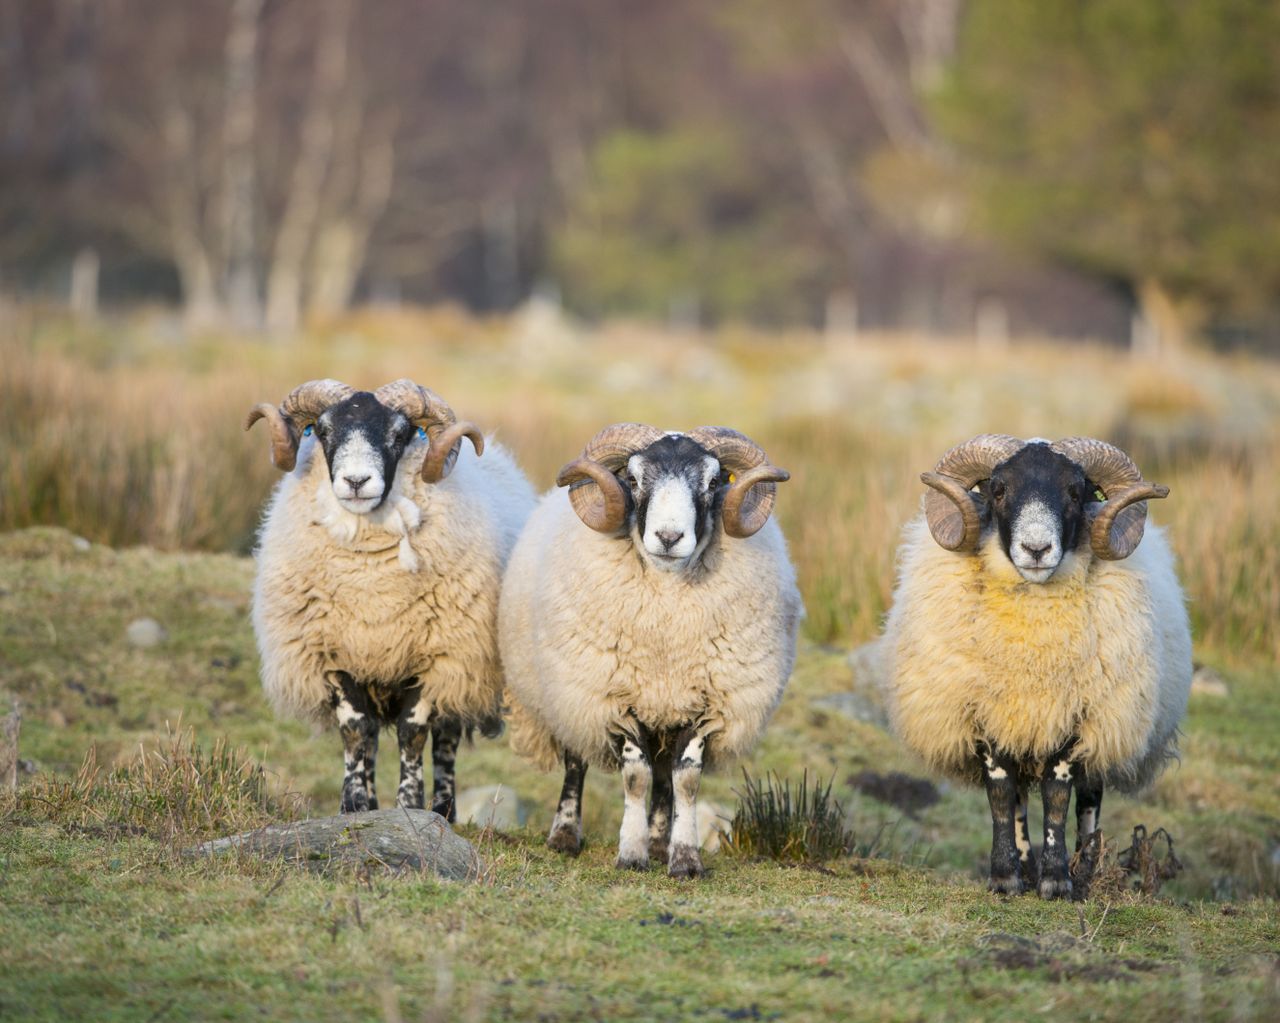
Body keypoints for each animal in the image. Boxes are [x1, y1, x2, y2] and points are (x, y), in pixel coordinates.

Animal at [247, 378, 532, 819]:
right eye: (323, 430)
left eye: (400, 434)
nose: (356, 482)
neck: (372, 590)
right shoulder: (335, 655)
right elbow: (355, 730)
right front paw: (353, 806)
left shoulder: (435, 656)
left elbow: (412, 733)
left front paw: (409, 806)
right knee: (371, 738)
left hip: (462, 669)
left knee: (446, 739)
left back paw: (442, 809)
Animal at [496, 425, 798, 880]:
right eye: (634, 479)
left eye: (713, 482)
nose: (669, 538)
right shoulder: (616, 700)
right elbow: (636, 777)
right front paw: (631, 855)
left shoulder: (702, 704)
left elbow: (684, 781)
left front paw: (684, 859)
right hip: (570, 695)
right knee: (576, 763)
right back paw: (565, 836)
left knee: (664, 776)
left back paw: (659, 844)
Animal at [880, 435, 1187, 901]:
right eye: (998, 490)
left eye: (1077, 492)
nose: (1037, 550)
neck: (1031, 652)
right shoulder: (986, 715)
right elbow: (1002, 796)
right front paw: (1006, 877)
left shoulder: (1076, 718)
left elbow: (1058, 797)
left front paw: (1057, 880)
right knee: (1022, 798)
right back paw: (1026, 867)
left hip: (1105, 728)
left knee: (1089, 801)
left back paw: (1084, 869)